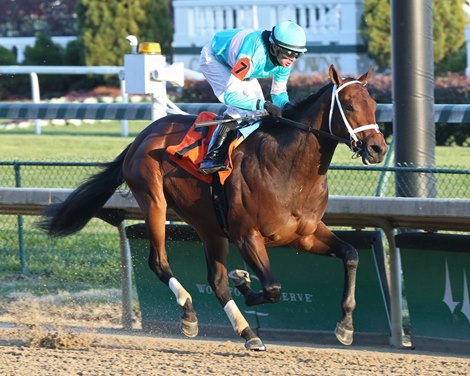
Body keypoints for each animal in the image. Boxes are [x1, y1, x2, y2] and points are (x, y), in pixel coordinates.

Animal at [40, 66, 388, 352]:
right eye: (349, 105)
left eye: (374, 105)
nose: (377, 148)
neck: (288, 169)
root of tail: (142, 136)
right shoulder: (248, 236)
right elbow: (272, 288)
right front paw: (245, 282)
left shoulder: (305, 234)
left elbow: (351, 255)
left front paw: (345, 326)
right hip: (154, 202)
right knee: (159, 262)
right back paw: (189, 312)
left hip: (209, 226)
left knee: (216, 280)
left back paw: (249, 333)